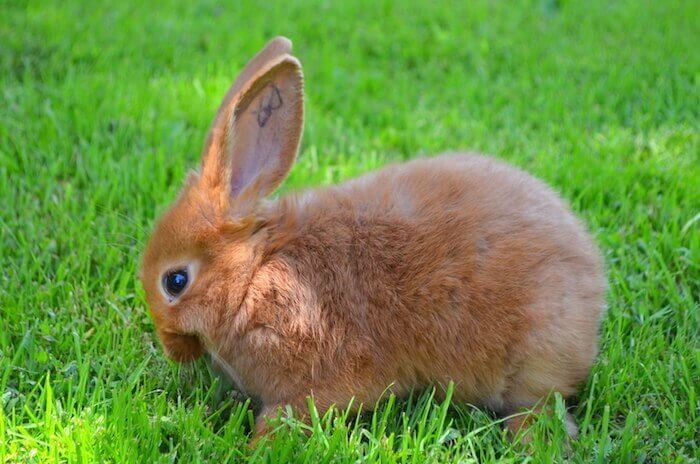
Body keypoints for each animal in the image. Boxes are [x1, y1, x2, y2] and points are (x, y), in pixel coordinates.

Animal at [138, 37, 608, 442]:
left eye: (175, 282)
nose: (171, 348)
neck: (255, 271)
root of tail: (591, 279)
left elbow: (290, 413)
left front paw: (259, 445)